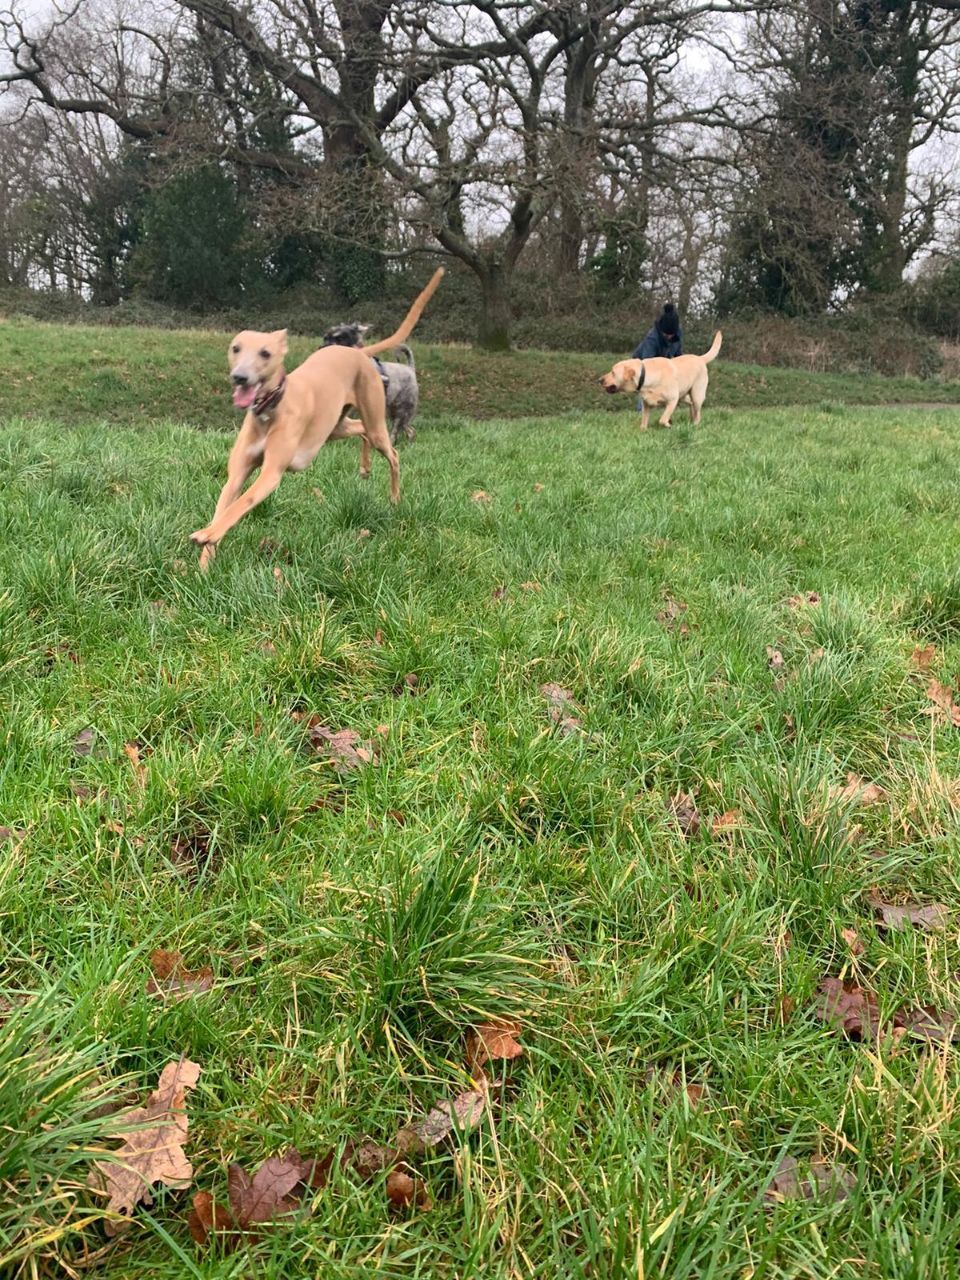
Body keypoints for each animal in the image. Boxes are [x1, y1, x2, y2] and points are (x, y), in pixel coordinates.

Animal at [191, 268, 444, 569]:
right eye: (235, 348)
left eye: (265, 353)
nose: (239, 377)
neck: (271, 409)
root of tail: (357, 352)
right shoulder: (237, 473)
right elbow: (224, 507)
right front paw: (204, 563)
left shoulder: (271, 474)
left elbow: (242, 502)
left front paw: (206, 535)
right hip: (335, 427)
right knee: (361, 430)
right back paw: (365, 467)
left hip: (375, 420)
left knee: (392, 452)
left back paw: (394, 497)